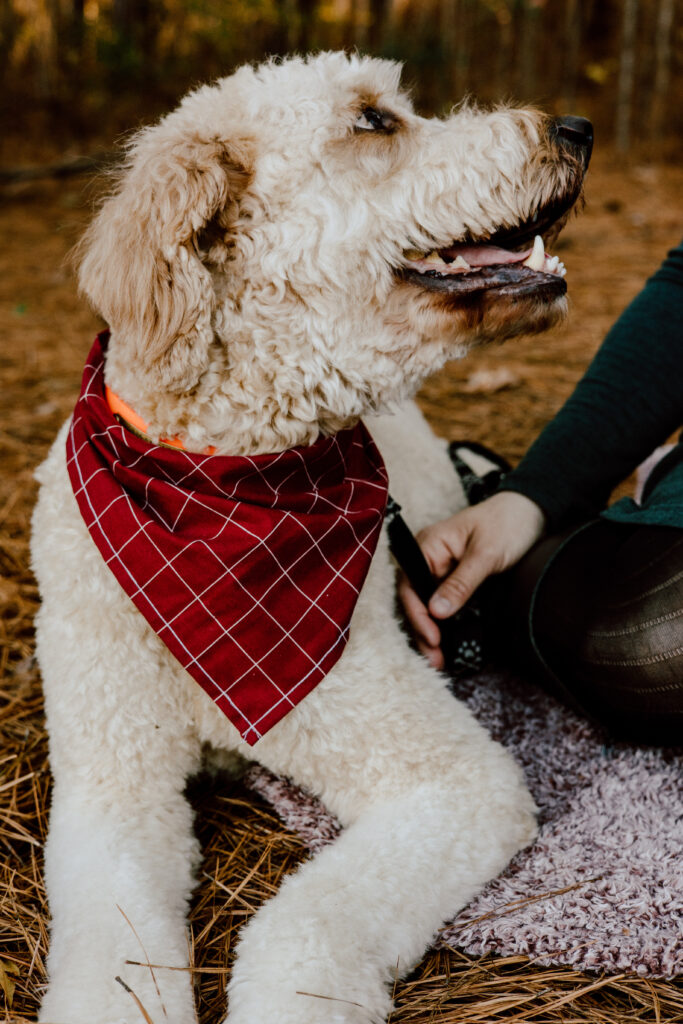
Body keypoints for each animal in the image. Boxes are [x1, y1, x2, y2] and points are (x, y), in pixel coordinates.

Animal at [30, 49, 589, 1024]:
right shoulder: (111, 791)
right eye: (373, 122)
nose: (575, 128)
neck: (221, 488)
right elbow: (112, 965)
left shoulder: (449, 778)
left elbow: (301, 928)